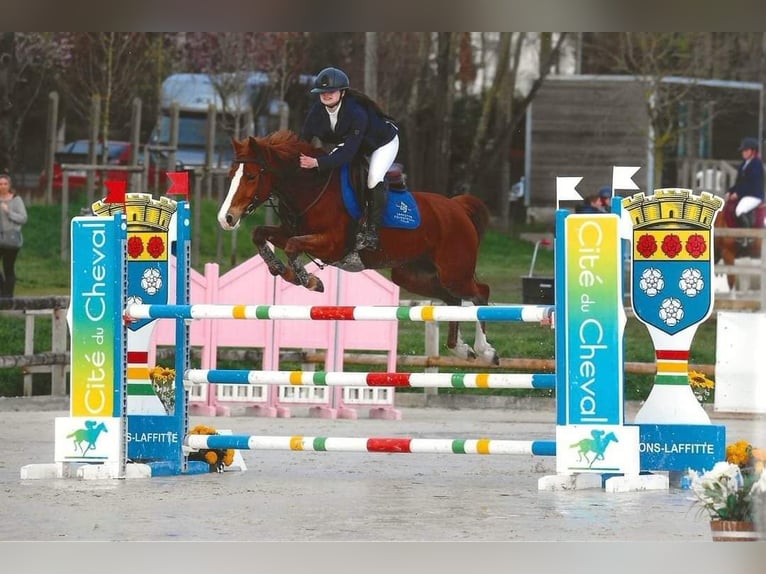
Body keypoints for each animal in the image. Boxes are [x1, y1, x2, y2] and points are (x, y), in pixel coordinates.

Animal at [219, 132, 500, 364]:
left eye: (251, 176)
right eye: (230, 175)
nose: (226, 219)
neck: (311, 189)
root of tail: (457, 208)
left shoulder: (332, 245)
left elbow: (292, 246)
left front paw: (309, 281)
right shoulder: (291, 230)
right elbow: (260, 234)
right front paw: (280, 269)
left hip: (454, 272)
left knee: (480, 292)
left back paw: (486, 351)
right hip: (412, 275)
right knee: (453, 300)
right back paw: (461, 348)